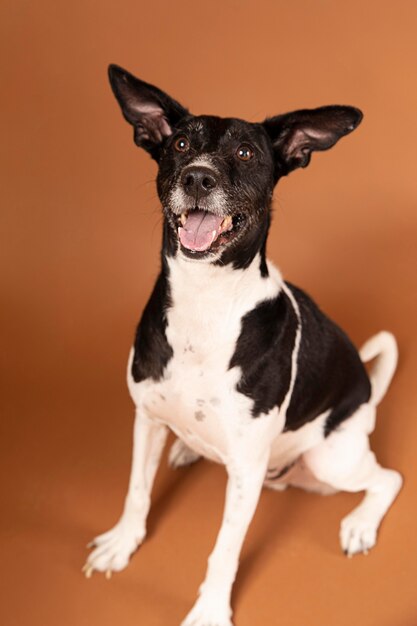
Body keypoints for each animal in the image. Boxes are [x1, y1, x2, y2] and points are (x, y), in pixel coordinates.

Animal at [83, 64, 400, 624]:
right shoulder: (147, 418)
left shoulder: (247, 472)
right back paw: (187, 449)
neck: (206, 302)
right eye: (180, 143)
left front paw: (210, 609)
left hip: (333, 457)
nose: (198, 177)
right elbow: (137, 491)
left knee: (389, 479)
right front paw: (123, 543)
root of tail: (366, 393)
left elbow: (225, 548)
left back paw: (361, 522)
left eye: (248, 153)